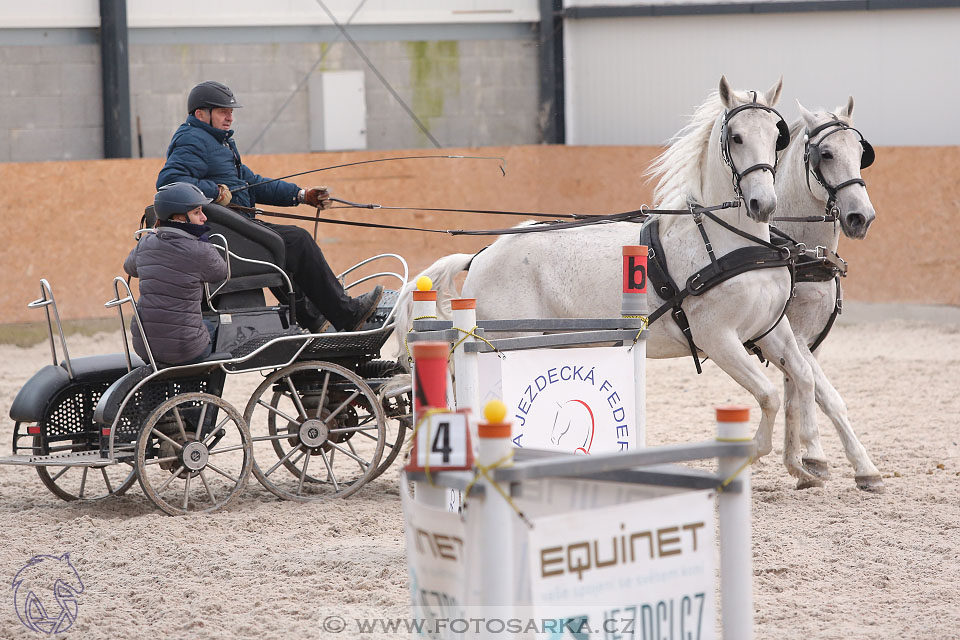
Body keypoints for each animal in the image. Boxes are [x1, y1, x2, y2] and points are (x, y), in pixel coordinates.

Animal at [398, 77, 824, 484]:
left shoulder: (769, 329)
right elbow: (769, 394)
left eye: (777, 136)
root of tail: (482, 254)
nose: (762, 204)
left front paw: (809, 459)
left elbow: (803, 379)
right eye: (736, 137)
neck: (730, 243)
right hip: (507, 343)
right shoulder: (719, 339)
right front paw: (757, 451)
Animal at [768, 99, 880, 490]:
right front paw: (857, 465)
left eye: (861, 153)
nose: (862, 217)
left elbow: (802, 391)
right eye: (826, 154)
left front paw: (810, 458)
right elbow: (825, 393)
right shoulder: (792, 336)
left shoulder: (810, 339)